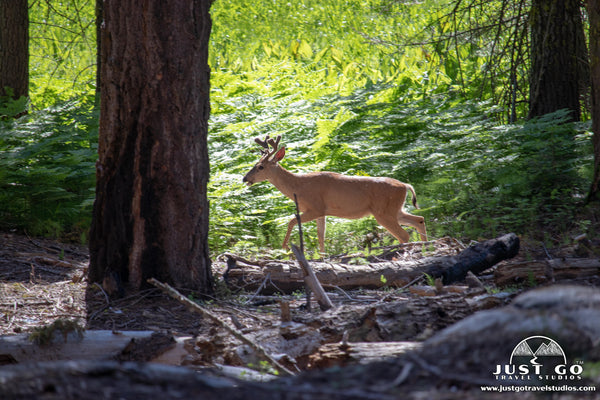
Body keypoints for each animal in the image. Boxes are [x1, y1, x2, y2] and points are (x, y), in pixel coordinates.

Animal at [241, 134, 428, 253]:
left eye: (260, 167)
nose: (244, 178)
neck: (298, 186)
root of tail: (405, 185)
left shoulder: (315, 207)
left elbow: (292, 221)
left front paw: (285, 248)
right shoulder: (322, 212)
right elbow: (321, 235)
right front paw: (322, 256)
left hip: (383, 212)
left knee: (404, 234)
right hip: (395, 209)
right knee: (419, 219)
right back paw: (427, 247)